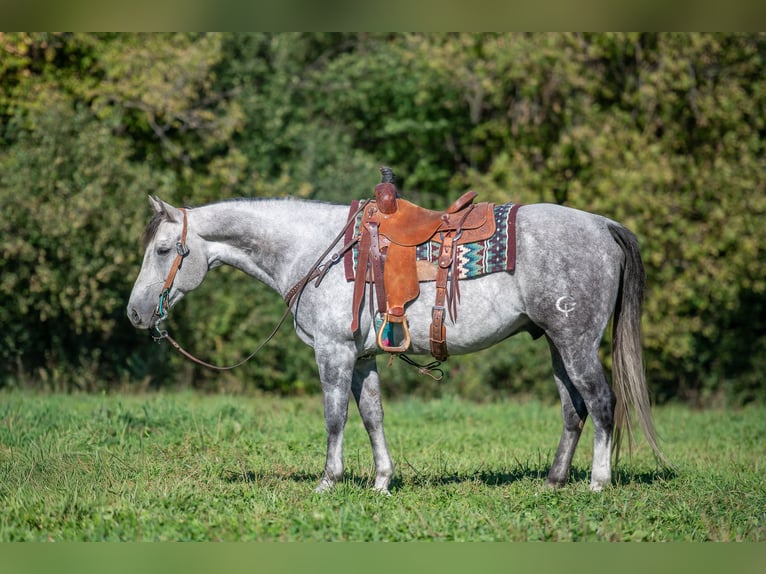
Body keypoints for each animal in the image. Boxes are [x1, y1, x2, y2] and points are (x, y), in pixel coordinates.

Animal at [127, 193, 668, 493]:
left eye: (163, 250)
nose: (135, 312)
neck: (314, 248)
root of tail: (603, 226)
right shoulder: (363, 357)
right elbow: (372, 416)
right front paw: (382, 481)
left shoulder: (334, 352)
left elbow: (335, 417)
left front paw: (328, 482)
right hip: (557, 346)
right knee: (573, 408)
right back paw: (554, 482)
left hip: (576, 343)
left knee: (601, 402)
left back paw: (598, 483)